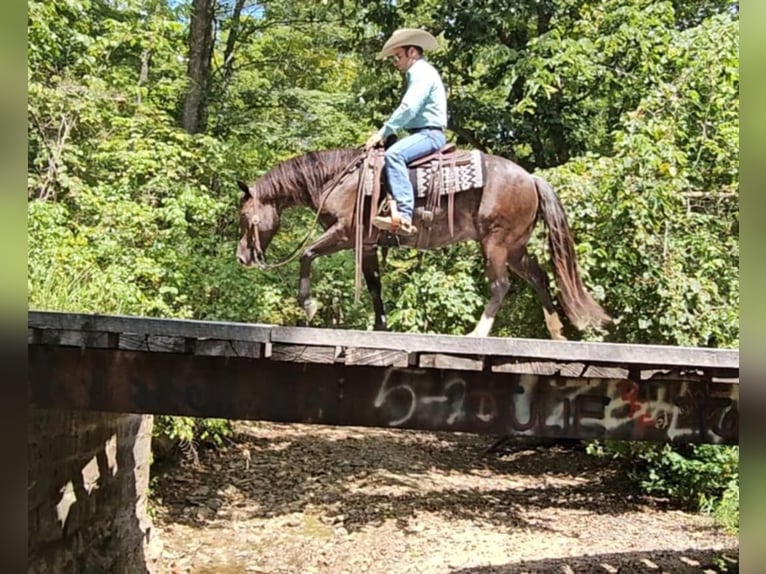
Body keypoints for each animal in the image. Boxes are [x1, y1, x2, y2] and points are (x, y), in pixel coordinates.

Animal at [237, 147, 608, 342]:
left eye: (244, 216)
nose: (242, 257)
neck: (340, 181)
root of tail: (530, 178)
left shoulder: (344, 233)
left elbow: (307, 253)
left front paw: (308, 305)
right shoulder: (367, 245)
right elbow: (374, 286)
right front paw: (380, 327)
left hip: (496, 243)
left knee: (501, 285)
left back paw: (477, 334)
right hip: (515, 247)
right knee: (539, 277)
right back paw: (557, 333)